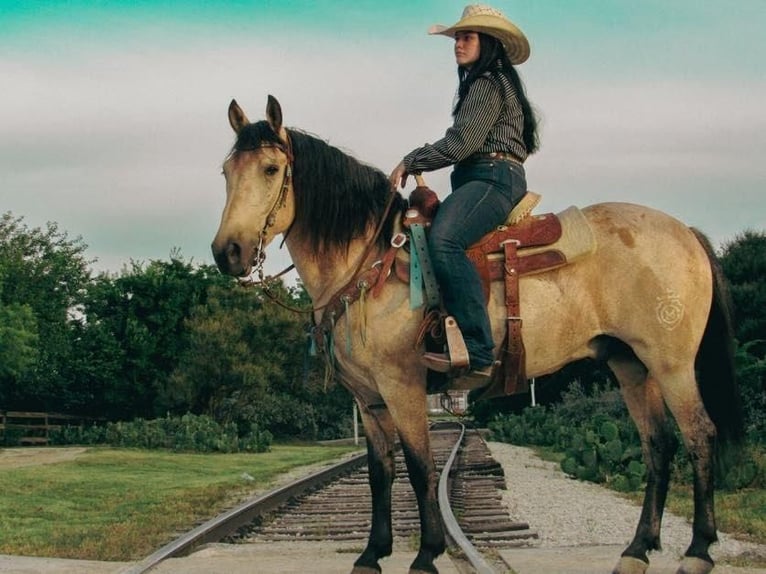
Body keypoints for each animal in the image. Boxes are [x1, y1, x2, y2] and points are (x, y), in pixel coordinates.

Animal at [212, 95, 744, 574]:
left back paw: (698, 551)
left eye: (271, 169)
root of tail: (685, 232)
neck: (370, 263)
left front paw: (426, 555)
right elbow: (380, 473)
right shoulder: (369, 398)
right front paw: (371, 555)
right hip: (630, 365)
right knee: (659, 446)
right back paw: (637, 550)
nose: (227, 252)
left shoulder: (402, 386)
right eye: (225, 171)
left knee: (699, 437)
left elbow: (420, 467)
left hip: (672, 365)